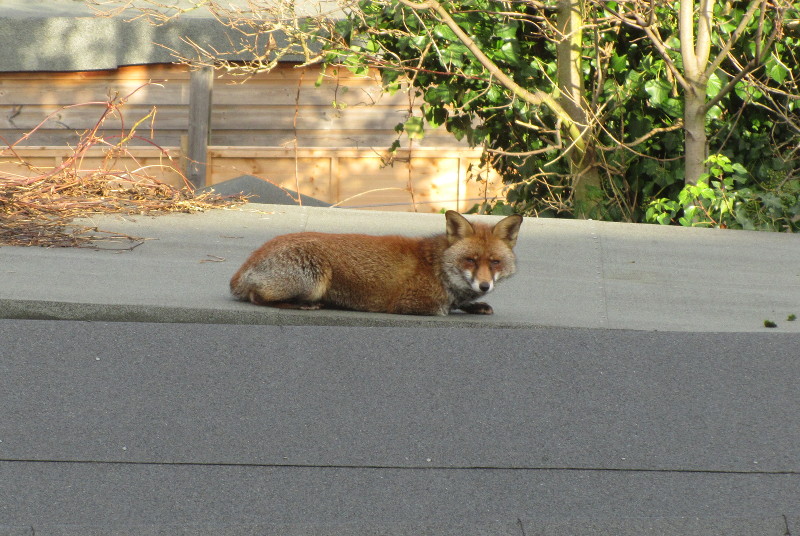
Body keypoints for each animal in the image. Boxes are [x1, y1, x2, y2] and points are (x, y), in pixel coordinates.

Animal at [230, 209, 524, 316]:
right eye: (470, 260)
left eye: (495, 262)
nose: (484, 286)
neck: (437, 267)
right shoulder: (413, 303)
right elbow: (445, 309)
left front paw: (476, 305)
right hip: (314, 280)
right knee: (258, 297)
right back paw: (303, 305)